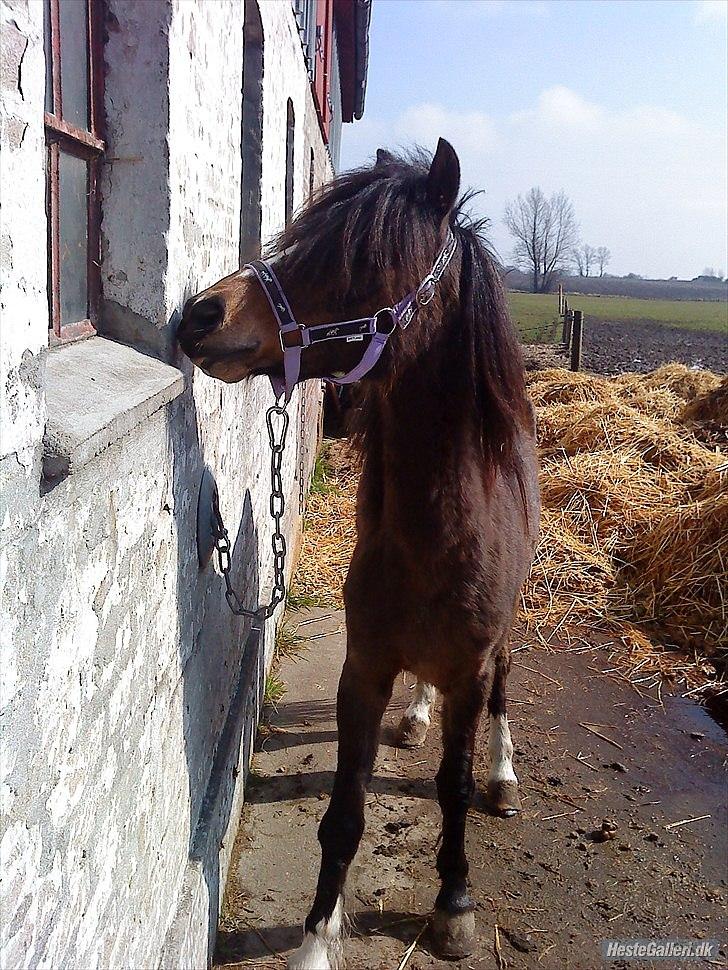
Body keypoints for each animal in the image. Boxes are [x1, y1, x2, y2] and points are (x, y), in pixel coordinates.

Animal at [177, 139, 540, 968]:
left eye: (359, 259)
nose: (200, 313)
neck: (437, 533)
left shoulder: (470, 669)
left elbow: (452, 788)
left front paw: (454, 905)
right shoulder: (364, 666)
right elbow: (343, 810)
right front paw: (315, 939)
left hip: (504, 635)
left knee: (505, 687)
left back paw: (505, 773)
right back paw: (416, 717)